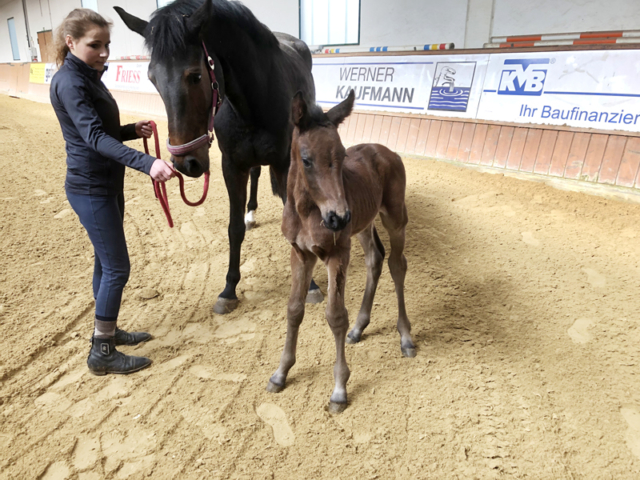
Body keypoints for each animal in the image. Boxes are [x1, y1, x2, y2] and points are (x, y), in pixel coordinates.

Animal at [264, 91, 416, 412]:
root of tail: (388, 152)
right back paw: (359, 328)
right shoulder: (300, 254)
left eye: (343, 155)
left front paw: (339, 389)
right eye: (306, 160)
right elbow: (294, 309)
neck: (307, 211)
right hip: (362, 226)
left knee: (397, 265)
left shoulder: (336, 254)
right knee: (375, 259)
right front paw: (280, 374)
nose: (339, 217)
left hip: (394, 219)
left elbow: (335, 315)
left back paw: (406, 337)